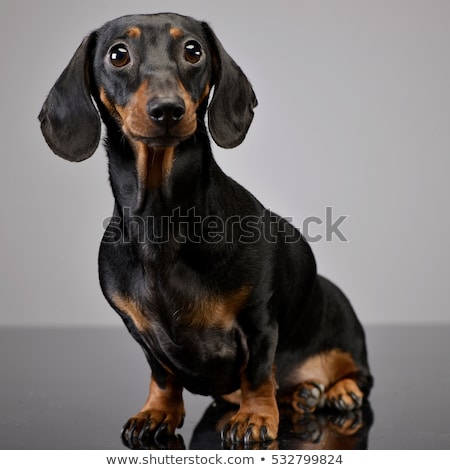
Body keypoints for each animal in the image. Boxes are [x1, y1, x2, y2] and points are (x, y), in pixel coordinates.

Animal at [38, 11, 370, 444]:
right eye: (118, 54)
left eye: (193, 50)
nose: (167, 110)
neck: (162, 220)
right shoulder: (140, 333)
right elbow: (163, 374)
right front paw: (158, 412)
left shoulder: (259, 320)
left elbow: (258, 373)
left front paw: (256, 417)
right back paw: (300, 395)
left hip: (344, 333)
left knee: (357, 375)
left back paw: (338, 390)